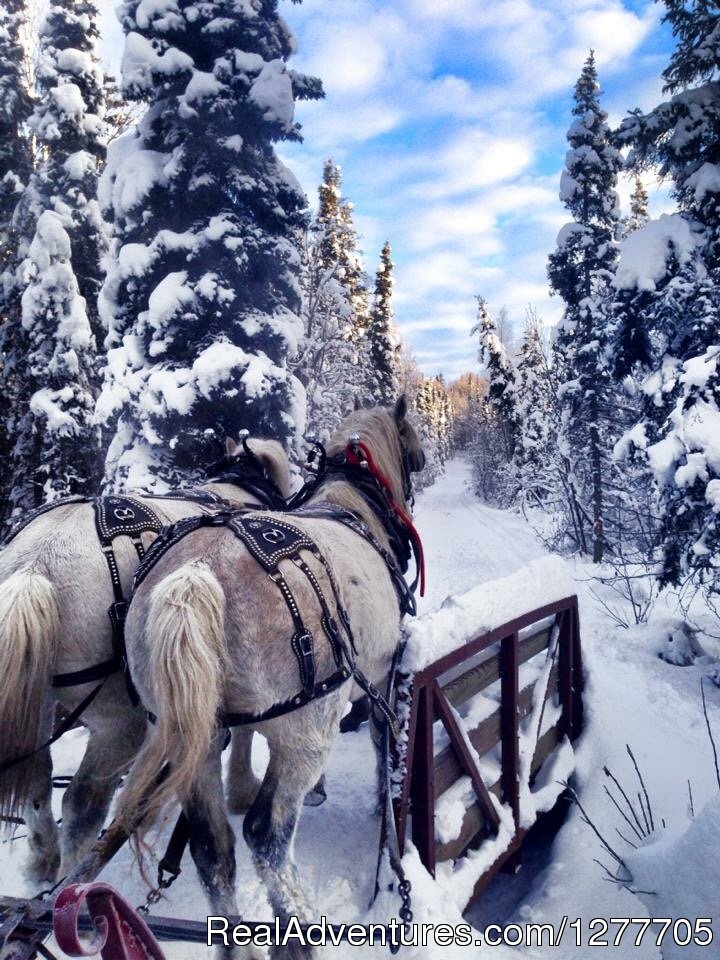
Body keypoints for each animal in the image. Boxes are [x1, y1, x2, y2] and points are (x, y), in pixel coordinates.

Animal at [0, 438, 290, 880]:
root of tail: (35, 566)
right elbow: (244, 731)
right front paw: (241, 789)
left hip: (38, 698)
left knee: (37, 780)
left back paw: (43, 858)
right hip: (120, 718)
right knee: (83, 802)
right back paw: (71, 875)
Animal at [114, 400, 422, 960]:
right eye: (412, 448)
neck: (353, 504)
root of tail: (197, 572)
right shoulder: (383, 677)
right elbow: (380, 742)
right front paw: (377, 805)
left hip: (196, 739)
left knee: (212, 847)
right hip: (304, 734)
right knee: (265, 838)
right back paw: (298, 937)